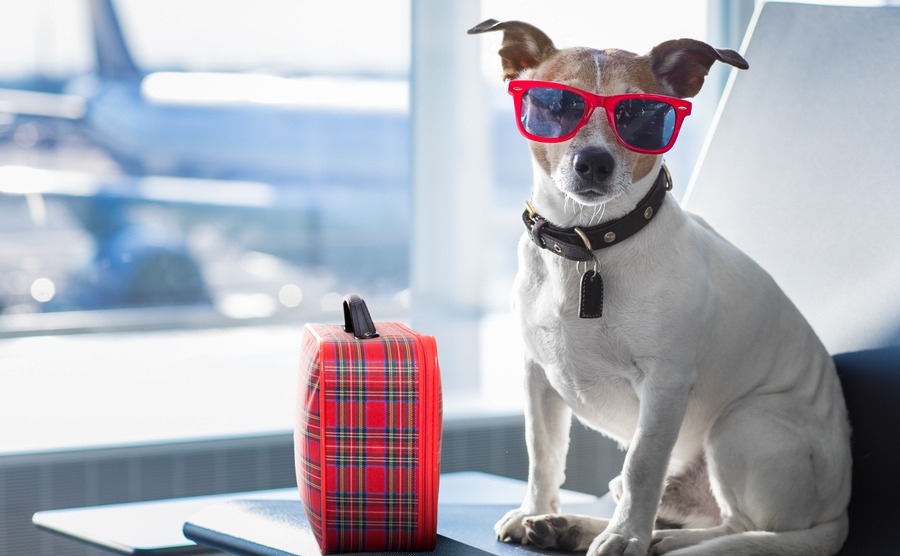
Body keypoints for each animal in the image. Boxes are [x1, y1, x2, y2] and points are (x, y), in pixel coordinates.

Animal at [468, 19, 856, 552]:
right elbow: (541, 455)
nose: (593, 162)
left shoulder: (664, 385)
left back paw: (658, 541)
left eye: (641, 116)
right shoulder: (537, 378)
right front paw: (535, 510)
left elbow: (642, 466)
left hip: (742, 423)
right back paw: (570, 526)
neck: (590, 244)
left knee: (736, 526)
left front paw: (626, 538)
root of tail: (837, 512)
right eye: (554, 105)